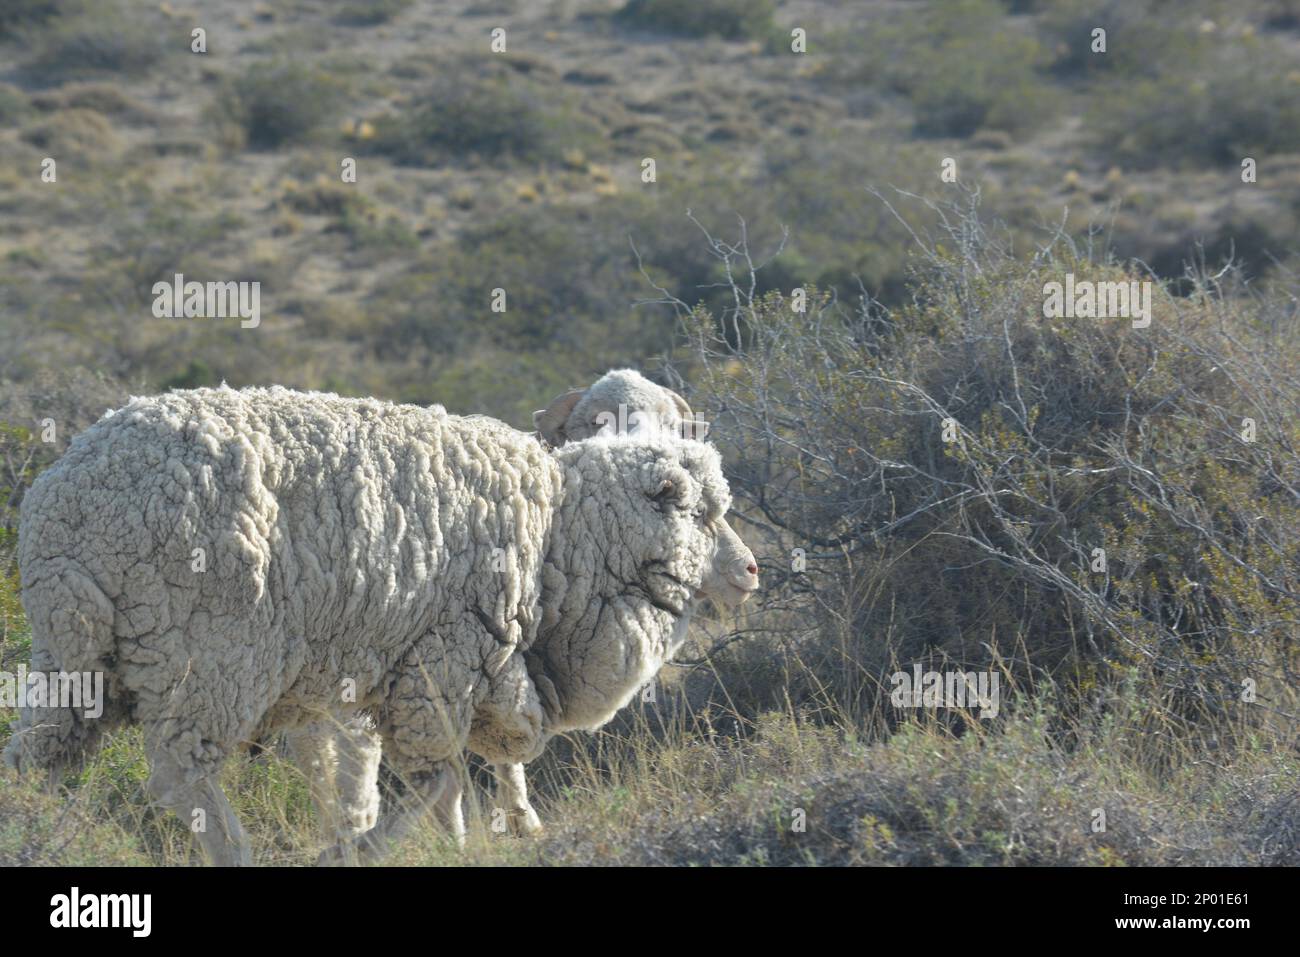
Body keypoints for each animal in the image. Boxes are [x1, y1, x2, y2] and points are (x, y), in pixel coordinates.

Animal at [5, 384, 759, 863]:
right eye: (703, 513)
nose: (751, 571)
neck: (560, 534)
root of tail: (65, 509)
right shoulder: (441, 664)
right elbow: (437, 781)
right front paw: (352, 852)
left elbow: (409, 782)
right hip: (208, 657)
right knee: (180, 777)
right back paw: (235, 851)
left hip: (81, 658)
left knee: (35, 757)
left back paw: (29, 832)